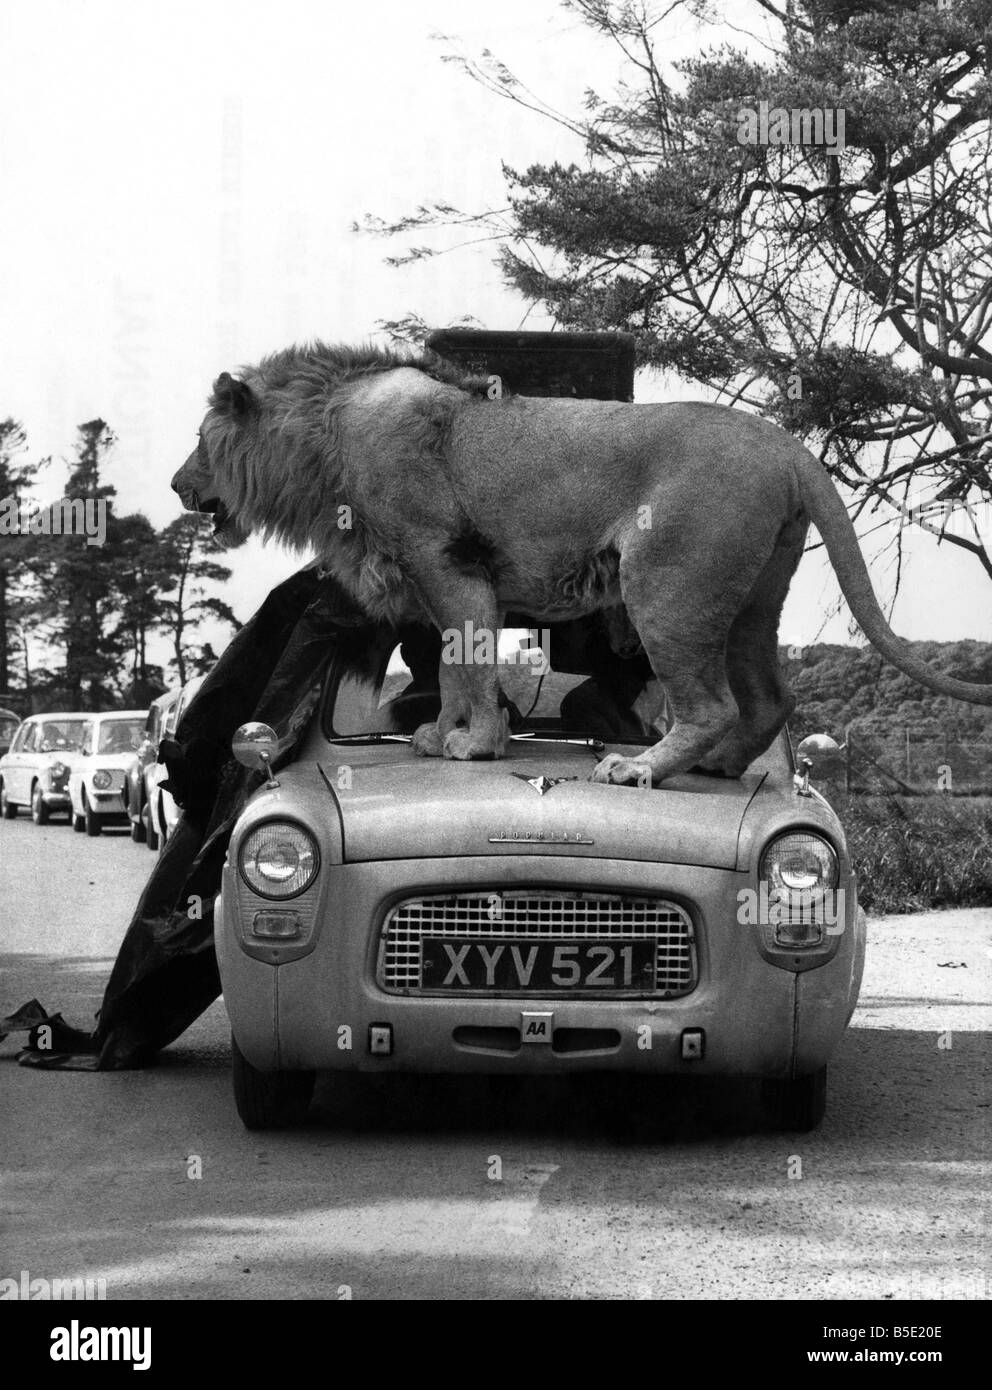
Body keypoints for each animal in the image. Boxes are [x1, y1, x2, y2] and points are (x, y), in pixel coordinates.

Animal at [170, 339, 989, 783]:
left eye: (202, 440)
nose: (179, 485)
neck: (323, 438)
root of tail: (787, 444)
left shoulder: (447, 562)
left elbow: (468, 663)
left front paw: (476, 745)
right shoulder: (442, 582)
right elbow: (452, 665)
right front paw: (444, 734)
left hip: (666, 585)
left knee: (713, 703)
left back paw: (640, 769)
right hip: (754, 599)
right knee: (769, 699)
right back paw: (719, 768)